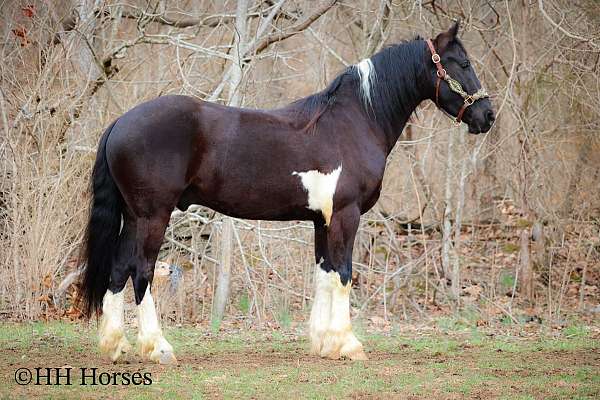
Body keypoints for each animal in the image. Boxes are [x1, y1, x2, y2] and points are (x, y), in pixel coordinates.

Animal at [78, 22, 492, 366]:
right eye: (463, 63)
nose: (487, 116)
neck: (354, 122)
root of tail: (120, 122)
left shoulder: (323, 220)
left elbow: (325, 273)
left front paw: (324, 343)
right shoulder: (346, 214)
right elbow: (344, 274)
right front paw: (348, 344)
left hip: (134, 216)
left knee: (118, 269)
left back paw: (115, 346)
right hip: (154, 215)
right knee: (142, 271)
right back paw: (159, 348)